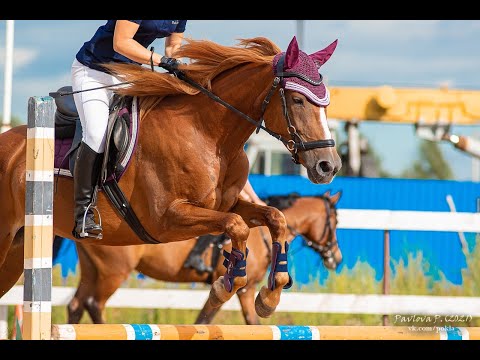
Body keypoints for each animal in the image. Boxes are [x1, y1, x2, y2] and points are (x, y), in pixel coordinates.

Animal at [69, 193, 344, 324]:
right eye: (335, 222)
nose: (337, 257)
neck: (261, 234)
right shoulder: (238, 288)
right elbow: (206, 317)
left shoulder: (247, 290)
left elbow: (251, 322)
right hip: (113, 273)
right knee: (94, 304)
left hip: (92, 271)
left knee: (76, 305)